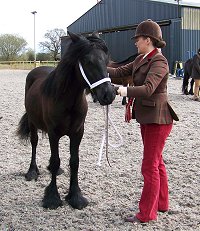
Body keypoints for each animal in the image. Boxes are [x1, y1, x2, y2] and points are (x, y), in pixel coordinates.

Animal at [17, 31, 115, 210]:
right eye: (87, 61)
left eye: (106, 60)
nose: (108, 94)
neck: (67, 100)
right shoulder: (53, 134)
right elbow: (56, 160)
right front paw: (52, 198)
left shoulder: (77, 133)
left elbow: (74, 162)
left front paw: (75, 196)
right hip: (33, 123)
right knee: (34, 143)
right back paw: (32, 171)